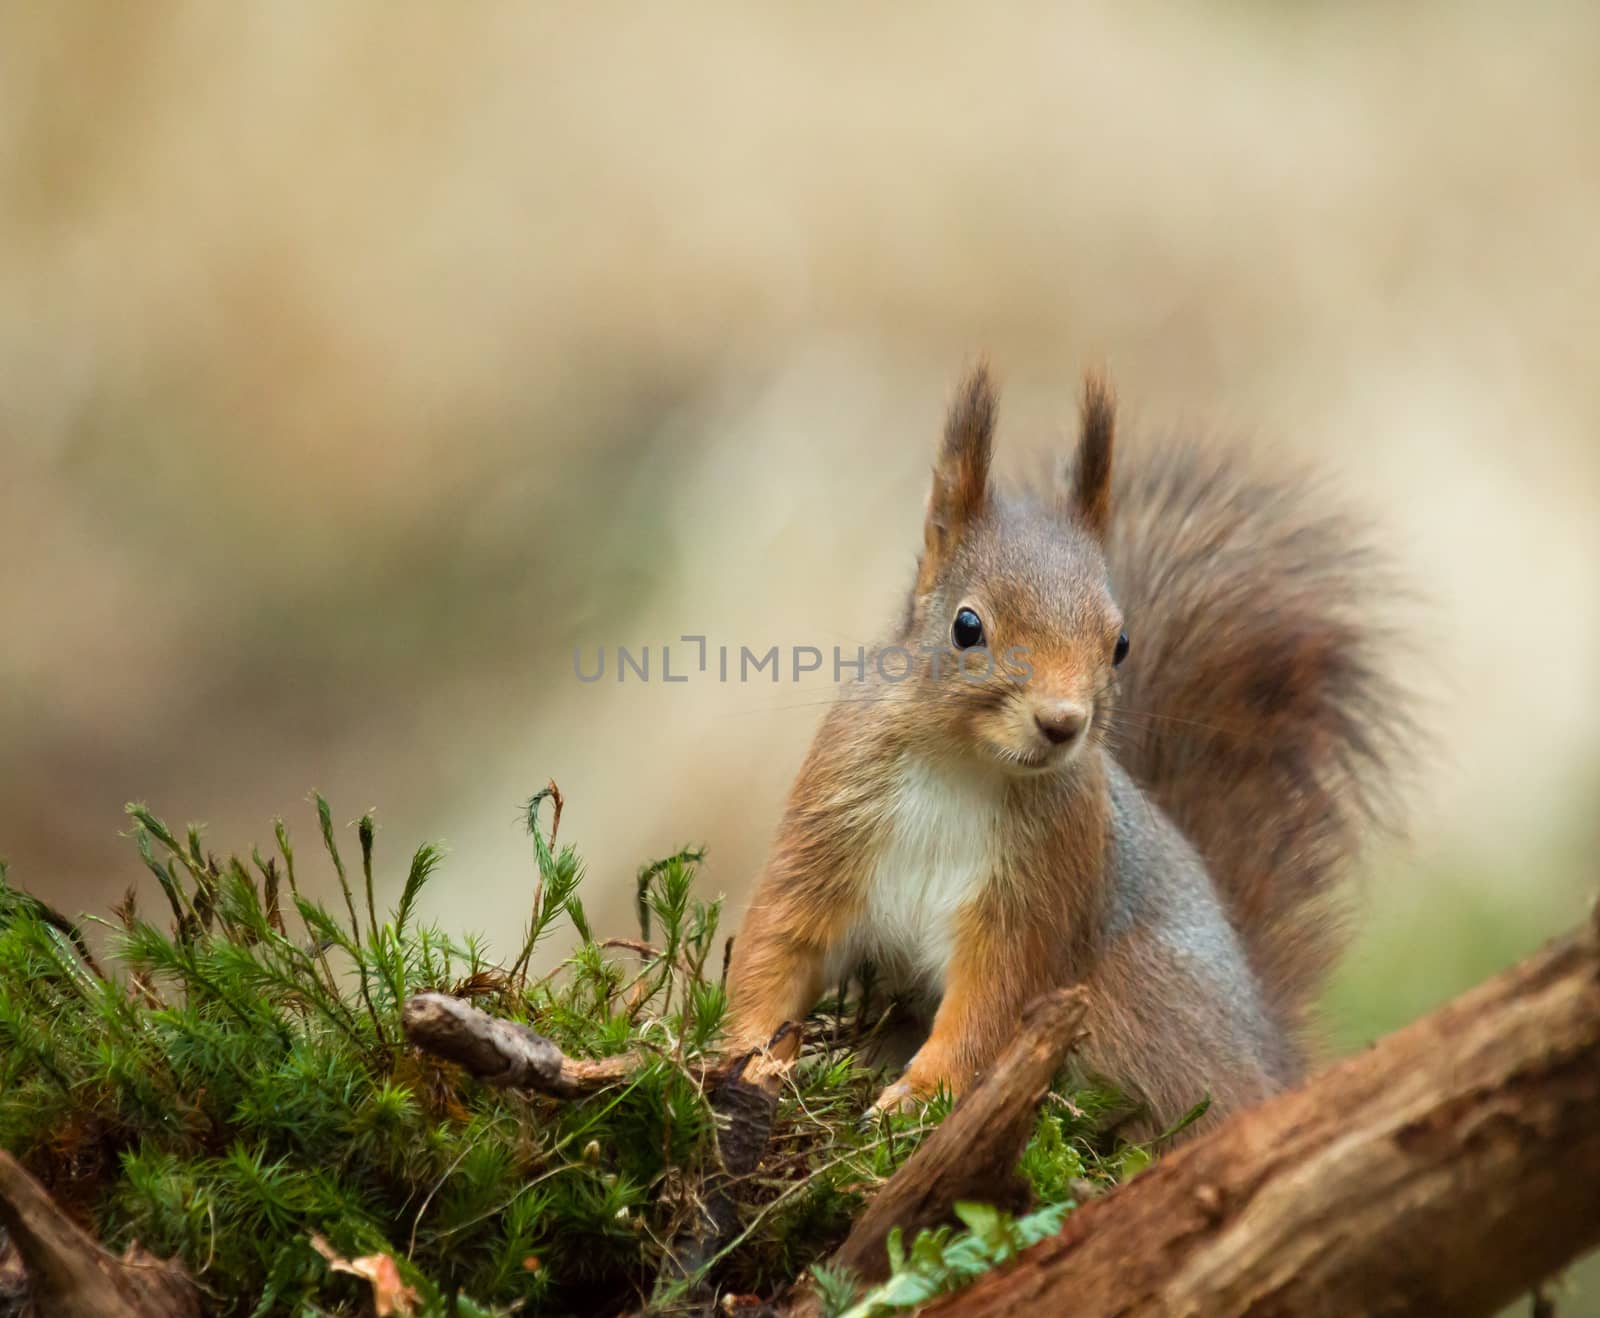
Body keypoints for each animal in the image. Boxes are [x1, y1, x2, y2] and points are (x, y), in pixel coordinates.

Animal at [726, 366, 1401, 1126]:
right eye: (966, 627)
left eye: (1121, 643)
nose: (1062, 722)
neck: (963, 766)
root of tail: (1272, 1062)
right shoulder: (831, 821)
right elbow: (781, 943)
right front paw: (748, 1060)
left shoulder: (1043, 887)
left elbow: (990, 1004)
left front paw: (917, 1102)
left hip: (1132, 992)